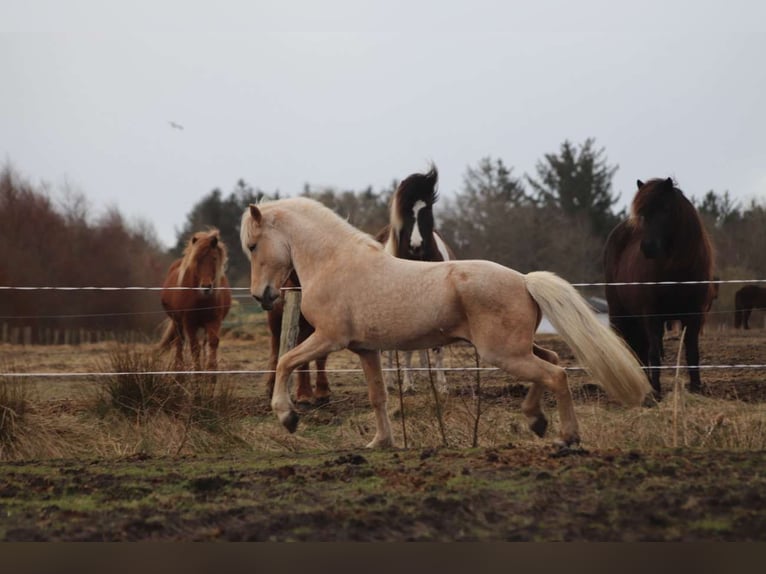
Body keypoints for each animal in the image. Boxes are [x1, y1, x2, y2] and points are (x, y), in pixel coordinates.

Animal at [160, 227, 232, 372]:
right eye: (197, 259)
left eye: (214, 258)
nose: (206, 287)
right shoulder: (189, 323)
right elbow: (194, 347)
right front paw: (198, 373)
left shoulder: (214, 321)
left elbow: (213, 343)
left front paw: (211, 372)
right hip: (177, 322)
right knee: (179, 343)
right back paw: (178, 369)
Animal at [243, 197, 652, 450]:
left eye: (252, 245)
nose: (261, 295)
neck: (335, 262)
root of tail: (524, 280)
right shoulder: (366, 350)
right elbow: (378, 396)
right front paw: (381, 442)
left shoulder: (329, 339)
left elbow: (285, 361)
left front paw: (287, 416)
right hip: (517, 348)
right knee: (551, 361)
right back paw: (536, 420)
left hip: (502, 353)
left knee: (555, 374)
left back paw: (566, 437)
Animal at [376, 164, 456, 394]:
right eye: (405, 211)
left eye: (426, 210)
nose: (416, 245)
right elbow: (405, 351)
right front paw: (408, 384)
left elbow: (437, 349)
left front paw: (442, 386)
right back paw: (391, 382)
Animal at [608, 180, 720, 400]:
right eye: (643, 213)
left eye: (666, 209)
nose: (648, 247)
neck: (677, 272)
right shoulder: (652, 315)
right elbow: (654, 355)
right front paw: (656, 391)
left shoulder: (694, 315)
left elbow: (692, 352)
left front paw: (696, 388)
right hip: (620, 314)